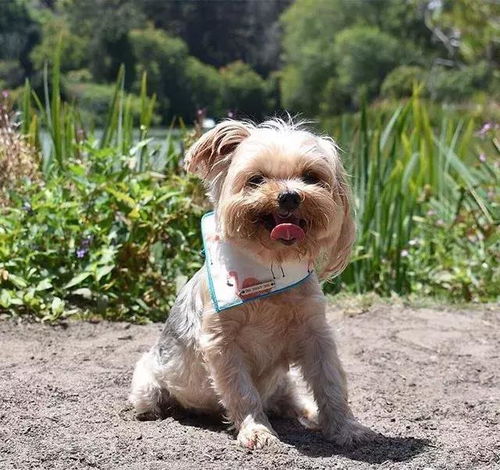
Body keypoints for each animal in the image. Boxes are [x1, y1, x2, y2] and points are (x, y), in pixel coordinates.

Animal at [129, 117, 372, 448]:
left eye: (311, 177)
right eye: (256, 179)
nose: (290, 195)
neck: (269, 270)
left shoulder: (315, 333)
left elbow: (330, 382)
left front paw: (346, 428)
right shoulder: (222, 343)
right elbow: (241, 390)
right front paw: (257, 431)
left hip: (283, 383)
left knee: (292, 399)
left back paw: (309, 414)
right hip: (147, 380)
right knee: (150, 398)